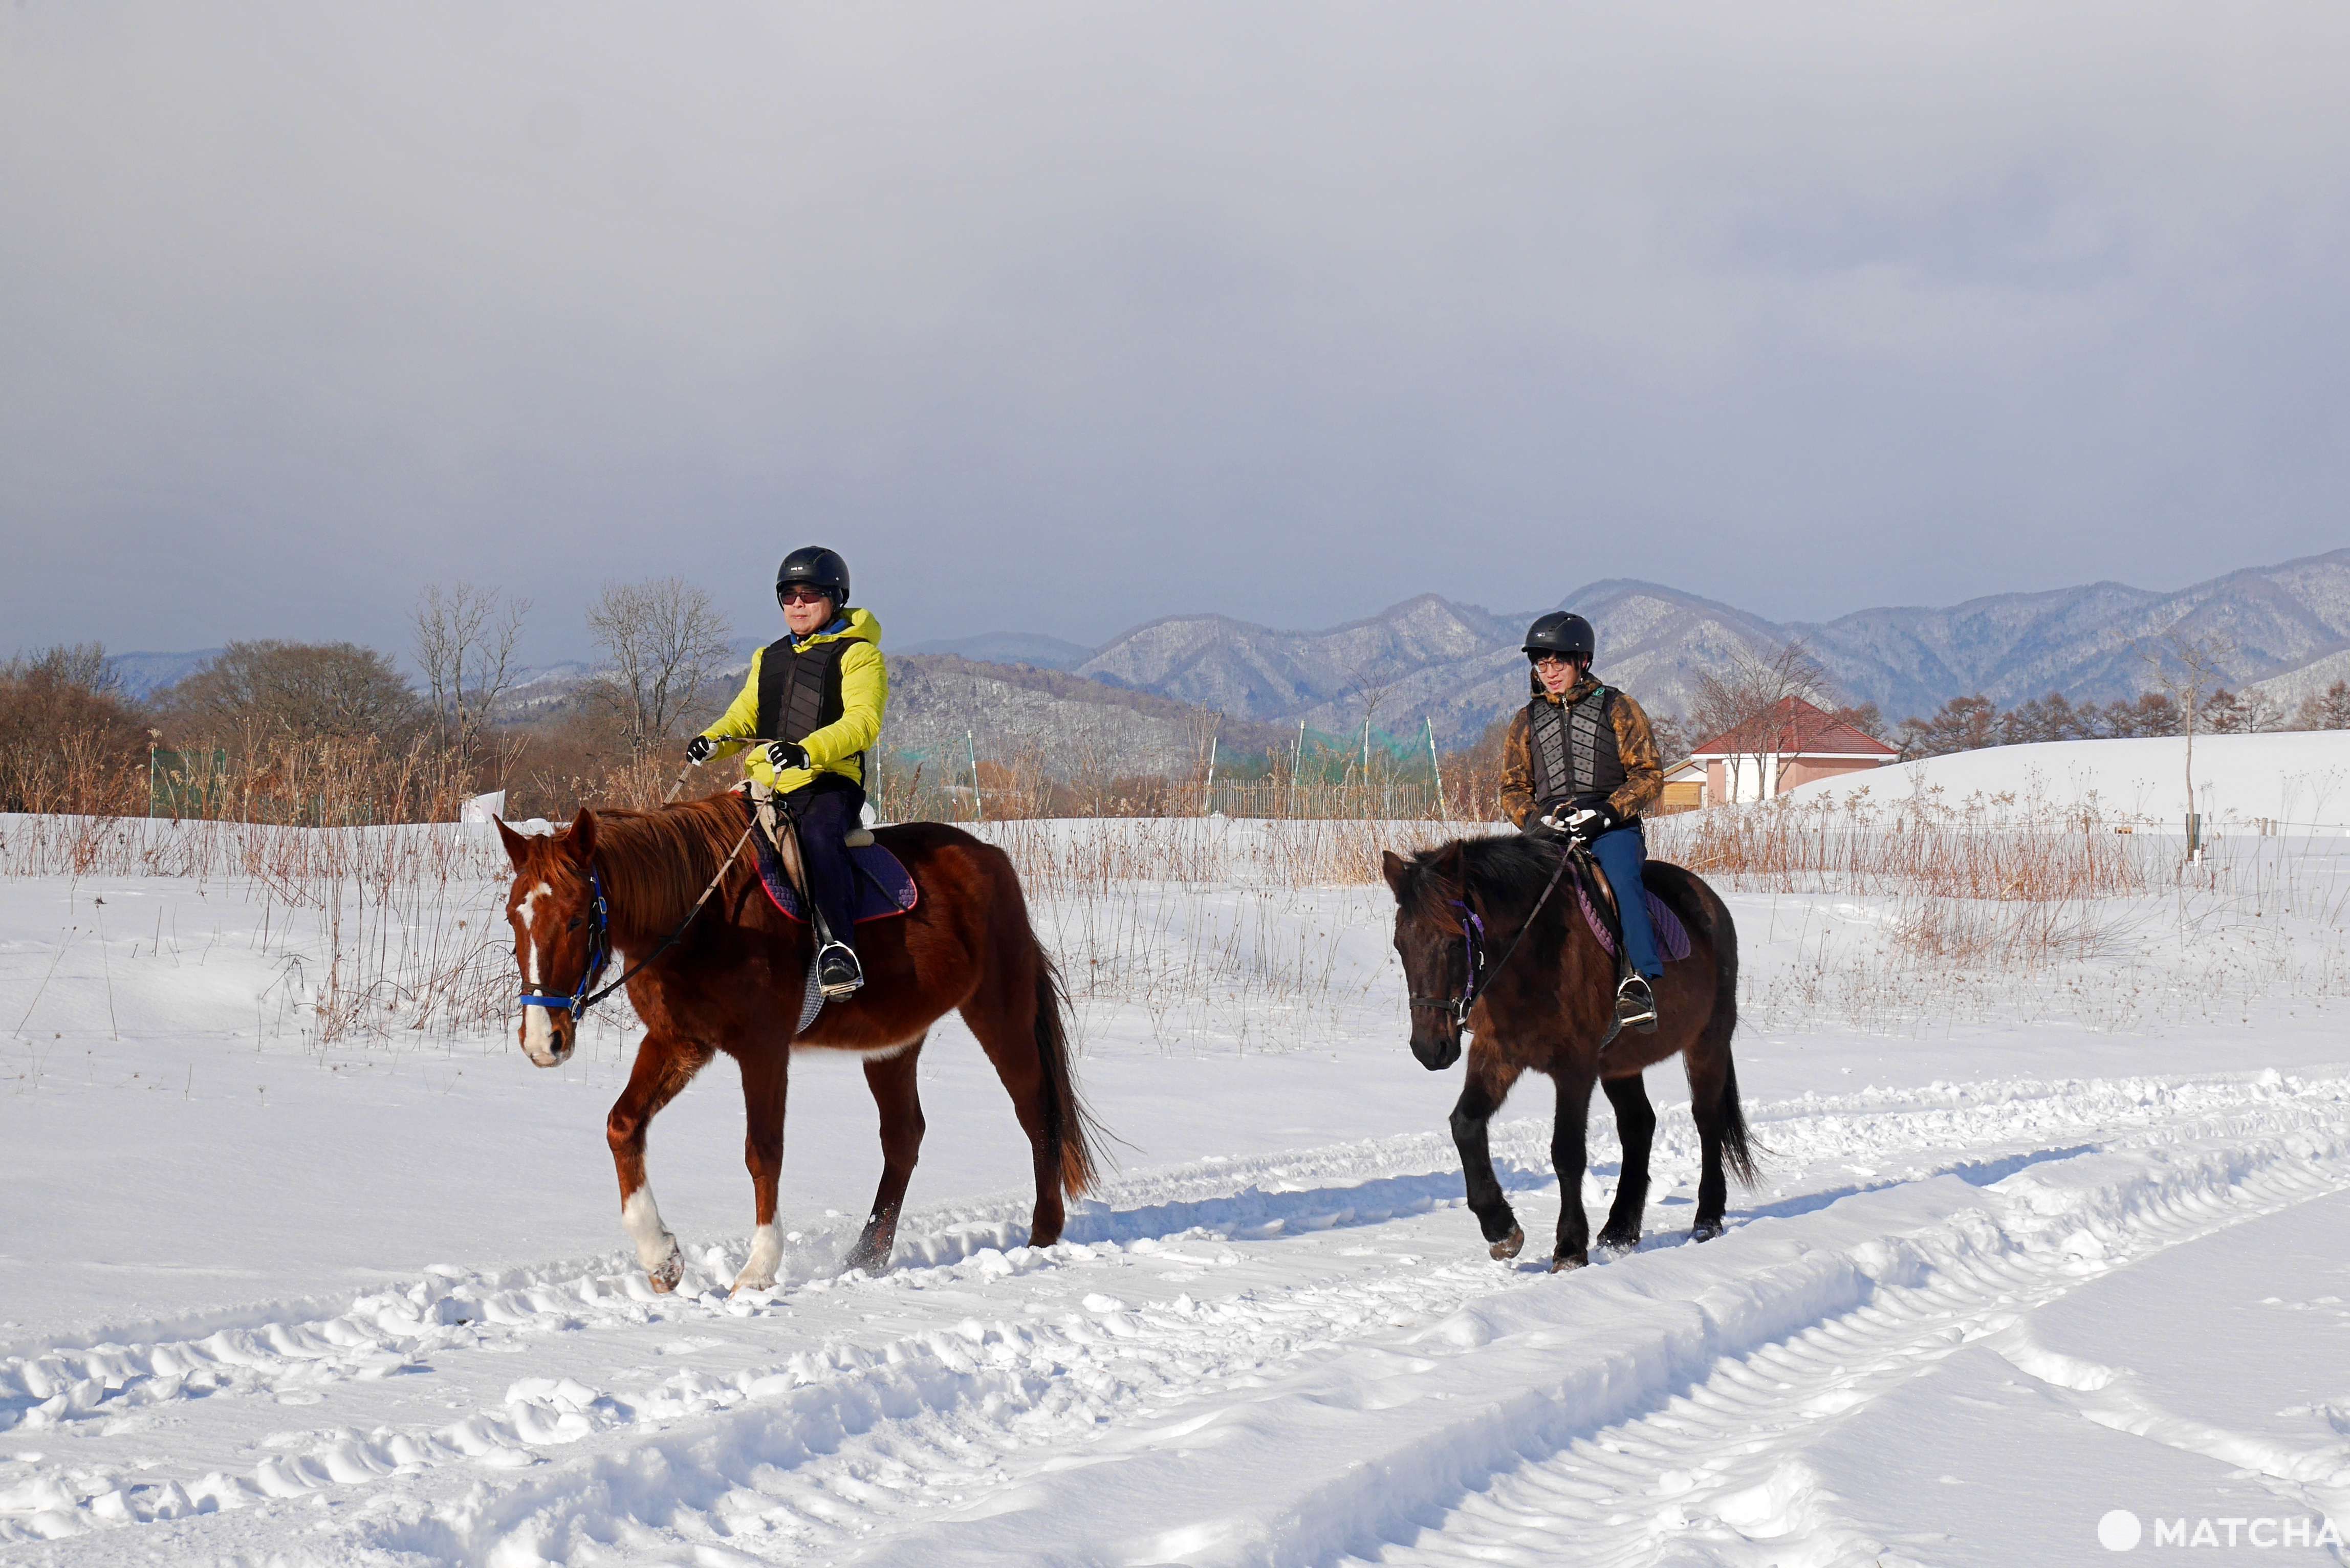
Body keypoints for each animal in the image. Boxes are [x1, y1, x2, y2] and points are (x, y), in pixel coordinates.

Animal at [494, 794, 1099, 1294]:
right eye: (513, 916)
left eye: (577, 919)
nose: (542, 1040)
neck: (703, 915)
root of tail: (991, 858)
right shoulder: (679, 1042)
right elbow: (622, 1126)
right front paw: (660, 1258)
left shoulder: (763, 1049)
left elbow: (763, 1151)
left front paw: (758, 1271)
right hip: (892, 1043)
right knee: (904, 1137)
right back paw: (866, 1256)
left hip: (999, 1011)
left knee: (1035, 1111)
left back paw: (1043, 1232)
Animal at [1381, 835, 1756, 1270]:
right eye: (1401, 945)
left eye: (1457, 942)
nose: (1429, 1048)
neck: (1533, 953)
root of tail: (1711, 903)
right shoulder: (1498, 1053)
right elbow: (1465, 1125)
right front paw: (1501, 1230)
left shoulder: (1575, 1067)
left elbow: (1567, 1151)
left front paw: (1570, 1248)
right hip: (1621, 1064)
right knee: (1638, 1126)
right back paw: (1619, 1230)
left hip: (1707, 1042)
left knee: (1707, 1120)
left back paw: (1707, 1220)